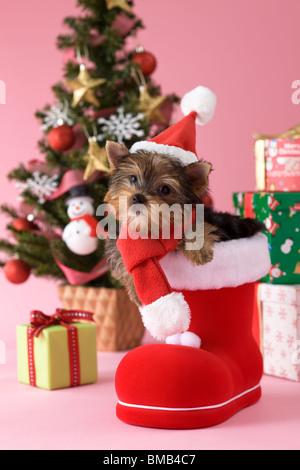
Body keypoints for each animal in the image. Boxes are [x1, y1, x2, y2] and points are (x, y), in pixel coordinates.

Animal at [103, 140, 264, 304]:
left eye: (165, 189)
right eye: (133, 178)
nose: (137, 197)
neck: (152, 227)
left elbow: (195, 226)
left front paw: (198, 250)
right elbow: (123, 258)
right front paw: (137, 290)